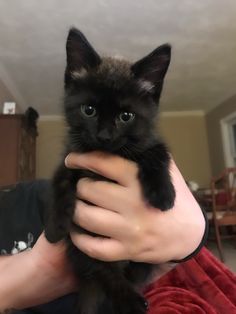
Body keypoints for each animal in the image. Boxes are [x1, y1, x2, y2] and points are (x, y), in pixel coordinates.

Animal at [45, 27, 176, 314]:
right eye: (89, 110)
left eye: (126, 116)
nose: (104, 136)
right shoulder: (69, 158)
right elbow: (60, 182)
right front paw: (55, 227)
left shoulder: (148, 142)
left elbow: (159, 153)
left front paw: (163, 194)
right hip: (85, 249)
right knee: (102, 271)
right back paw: (131, 301)